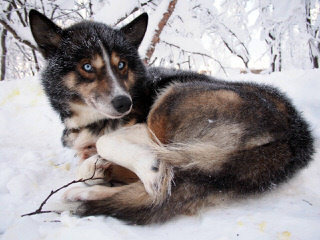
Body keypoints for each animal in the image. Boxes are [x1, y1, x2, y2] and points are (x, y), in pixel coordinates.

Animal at [28, 9, 314, 225]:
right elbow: (88, 159)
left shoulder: (142, 130)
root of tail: (295, 136)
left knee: (160, 191)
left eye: (121, 65)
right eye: (87, 66)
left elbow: (105, 143)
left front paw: (143, 167)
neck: (93, 121)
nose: (124, 103)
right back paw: (86, 191)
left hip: (170, 101)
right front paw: (99, 168)